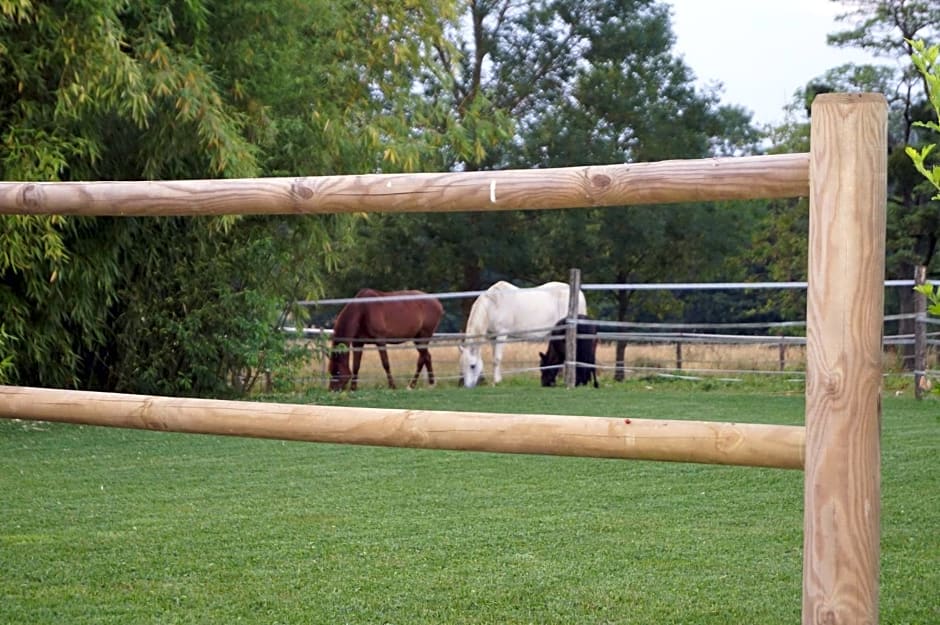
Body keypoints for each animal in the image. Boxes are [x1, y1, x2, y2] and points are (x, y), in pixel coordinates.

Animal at [458, 282, 588, 388]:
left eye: (472, 366)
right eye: (462, 366)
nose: (467, 386)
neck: (492, 305)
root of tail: (579, 293)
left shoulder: (501, 335)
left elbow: (497, 359)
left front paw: (497, 382)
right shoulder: (493, 337)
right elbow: (493, 358)